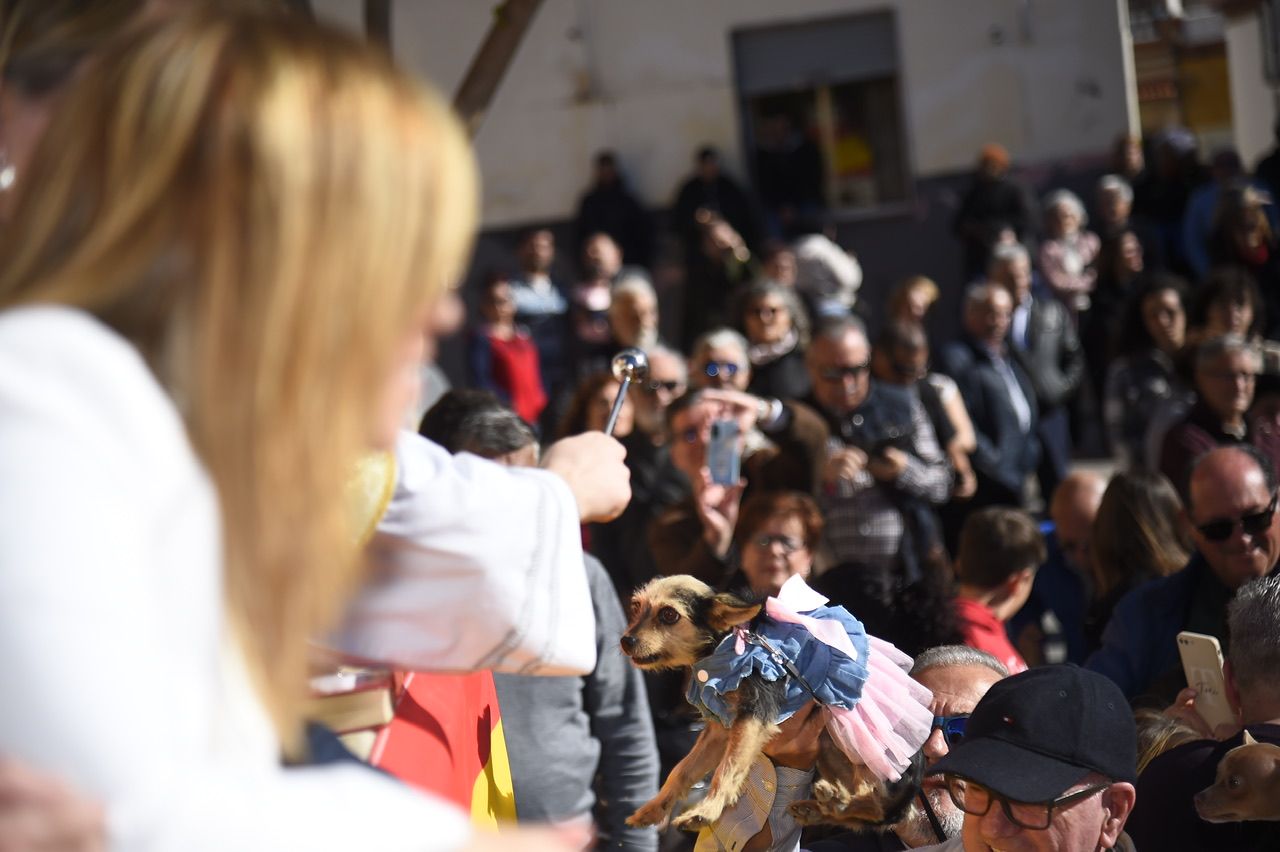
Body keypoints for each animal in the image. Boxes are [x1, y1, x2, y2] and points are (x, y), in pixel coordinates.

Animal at [619, 573, 921, 823]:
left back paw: (839, 802)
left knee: (878, 806)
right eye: (635, 607)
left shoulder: (753, 716)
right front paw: (653, 809)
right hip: (829, 749)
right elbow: (682, 770)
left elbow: (727, 769)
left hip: (866, 753)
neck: (724, 645)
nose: (626, 641)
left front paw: (707, 810)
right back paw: (824, 805)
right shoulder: (719, 731)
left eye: (669, 615)